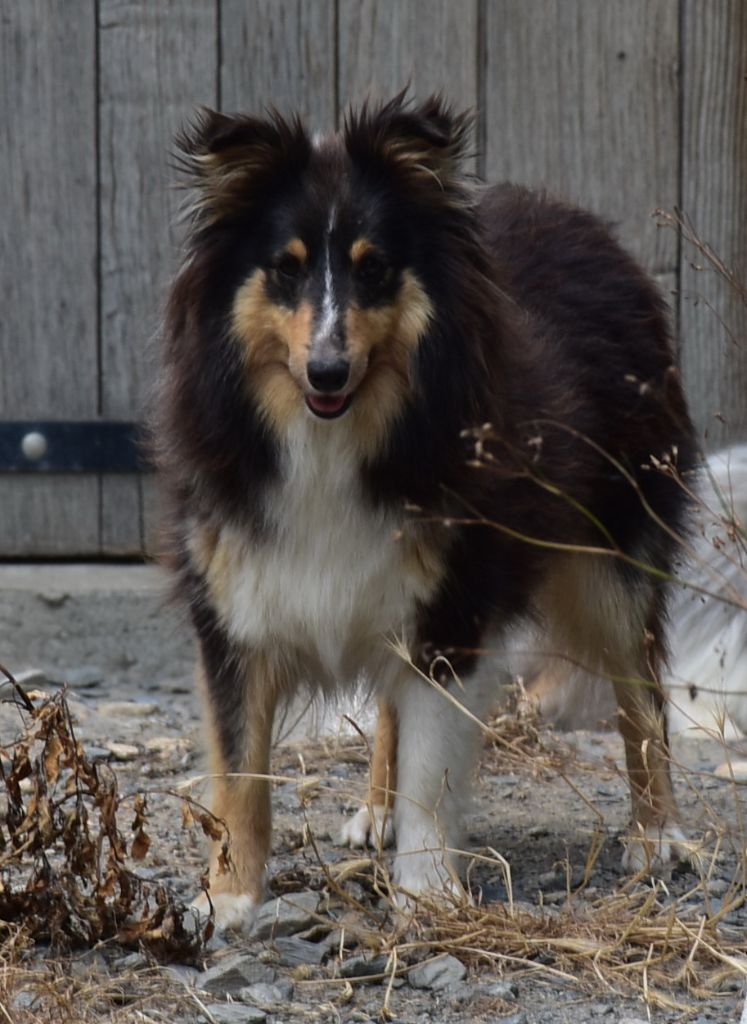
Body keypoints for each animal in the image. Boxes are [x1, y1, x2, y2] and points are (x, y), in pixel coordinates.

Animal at [154, 94, 696, 929]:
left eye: (374, 268)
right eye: (285, 266)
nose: (327, 371)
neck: (330, 438)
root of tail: (583, 221)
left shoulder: (453, 602)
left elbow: (431, 764)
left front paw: (428, 891)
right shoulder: (234, 602)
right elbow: (240, 774)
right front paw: (229, 901)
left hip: (612, 555)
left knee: (640, 695)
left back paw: (658, 835)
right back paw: (374, 810)